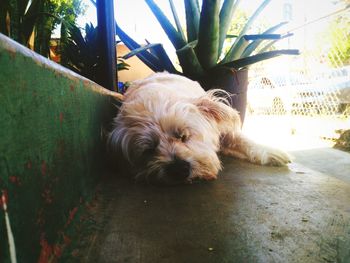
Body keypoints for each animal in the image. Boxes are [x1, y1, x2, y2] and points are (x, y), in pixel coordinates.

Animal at [108, 72, 292, 186]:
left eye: (183, 136)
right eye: (148, 149)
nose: (178, 169)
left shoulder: (222, 131)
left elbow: (242, 139)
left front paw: (270, 151)